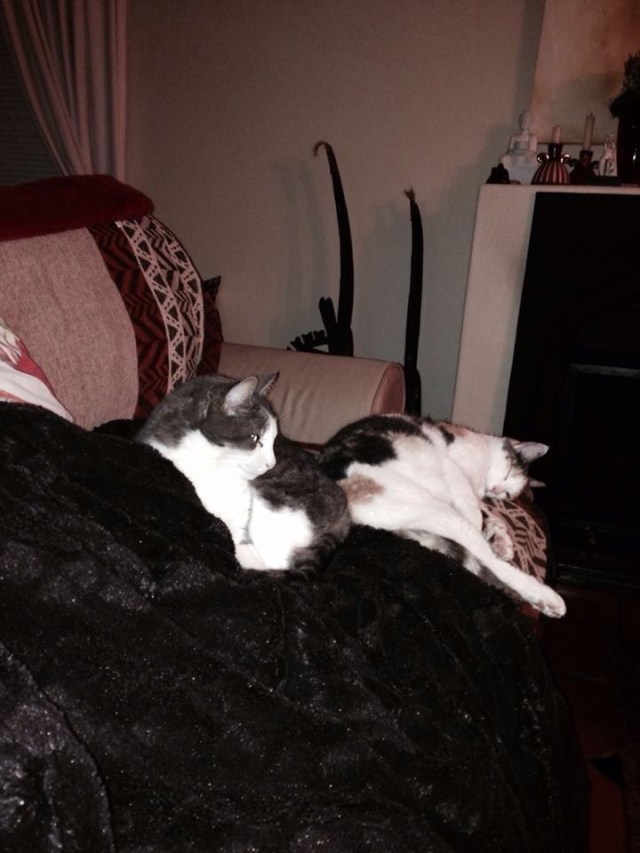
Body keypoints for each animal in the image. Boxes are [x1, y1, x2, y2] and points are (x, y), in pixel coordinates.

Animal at [318, 414, 566, 618]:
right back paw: (548, 599)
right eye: (507, 474)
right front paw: (494, 535)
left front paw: (502, 539)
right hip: (436, 509)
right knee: (487, 558)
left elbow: (487, 514)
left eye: (507, 494)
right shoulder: (454, 468)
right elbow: (475, 512)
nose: (496, 490)